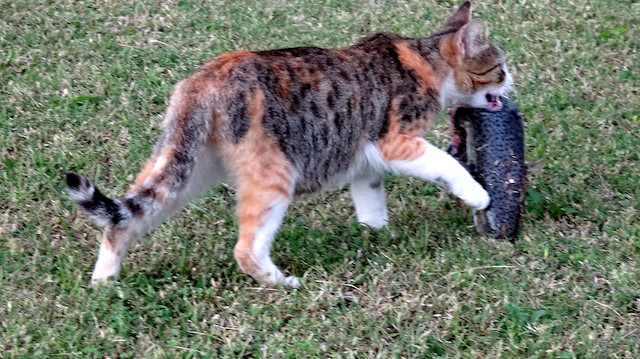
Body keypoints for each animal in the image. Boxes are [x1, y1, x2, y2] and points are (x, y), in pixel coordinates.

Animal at [66, 2, 516, 290]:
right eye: (500, 68)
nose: (513, 83)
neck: (428, 63)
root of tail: (203, 82)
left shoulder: (365, 159)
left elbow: (370, 198)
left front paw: (374, 234)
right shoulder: (394, 140)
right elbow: (447, 165)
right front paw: (478, 195)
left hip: (185, 170)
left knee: (124, 220)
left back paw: (104, 284)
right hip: (273, 175)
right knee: (245, 249)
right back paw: (283, 282)